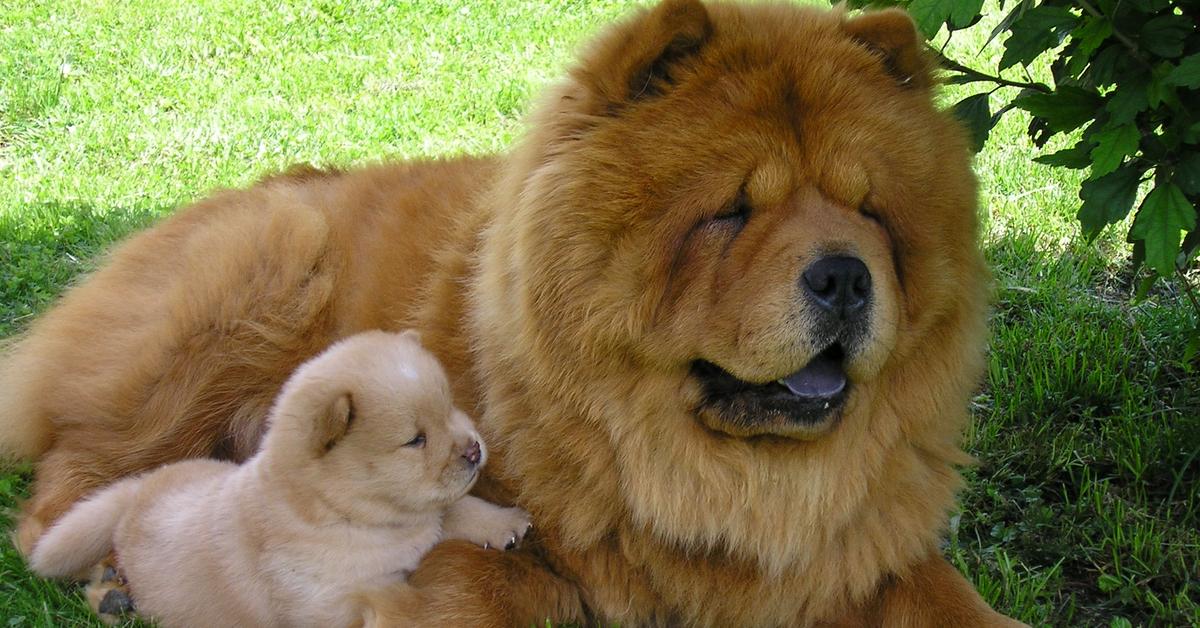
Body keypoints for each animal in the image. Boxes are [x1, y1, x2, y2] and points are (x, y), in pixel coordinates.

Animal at [29, 331, 530, 624]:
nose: (475, 449)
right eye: (415, 440)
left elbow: (455, 509)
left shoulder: (421, 518)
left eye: (449, 408)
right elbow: (391, 597)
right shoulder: (324, 604)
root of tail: (138, 490)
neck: (348, 512)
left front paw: (508, 523)